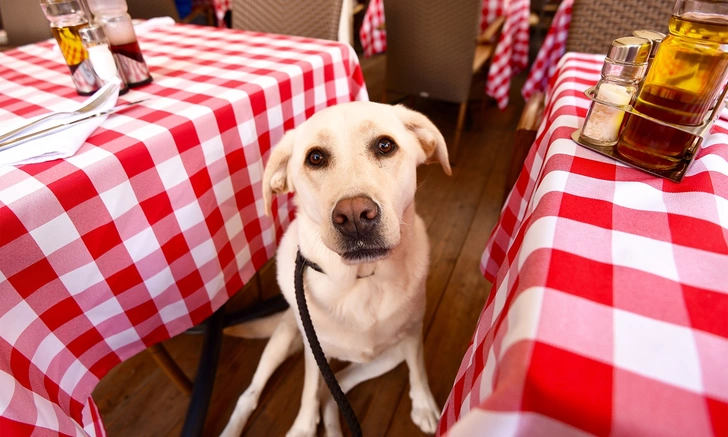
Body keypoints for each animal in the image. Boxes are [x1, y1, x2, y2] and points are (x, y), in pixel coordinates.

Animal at [219, 101, 452, 436]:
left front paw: (423, 404)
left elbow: (418, 368)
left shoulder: (412, 333)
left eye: (385, 145)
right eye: (315, 158)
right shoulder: (313, 349)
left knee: (333, 391)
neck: (362, 279)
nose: (354, 216)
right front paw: (303, 427)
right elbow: (307, 390)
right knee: (251, 396)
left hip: (385, 357)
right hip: (285, 336)